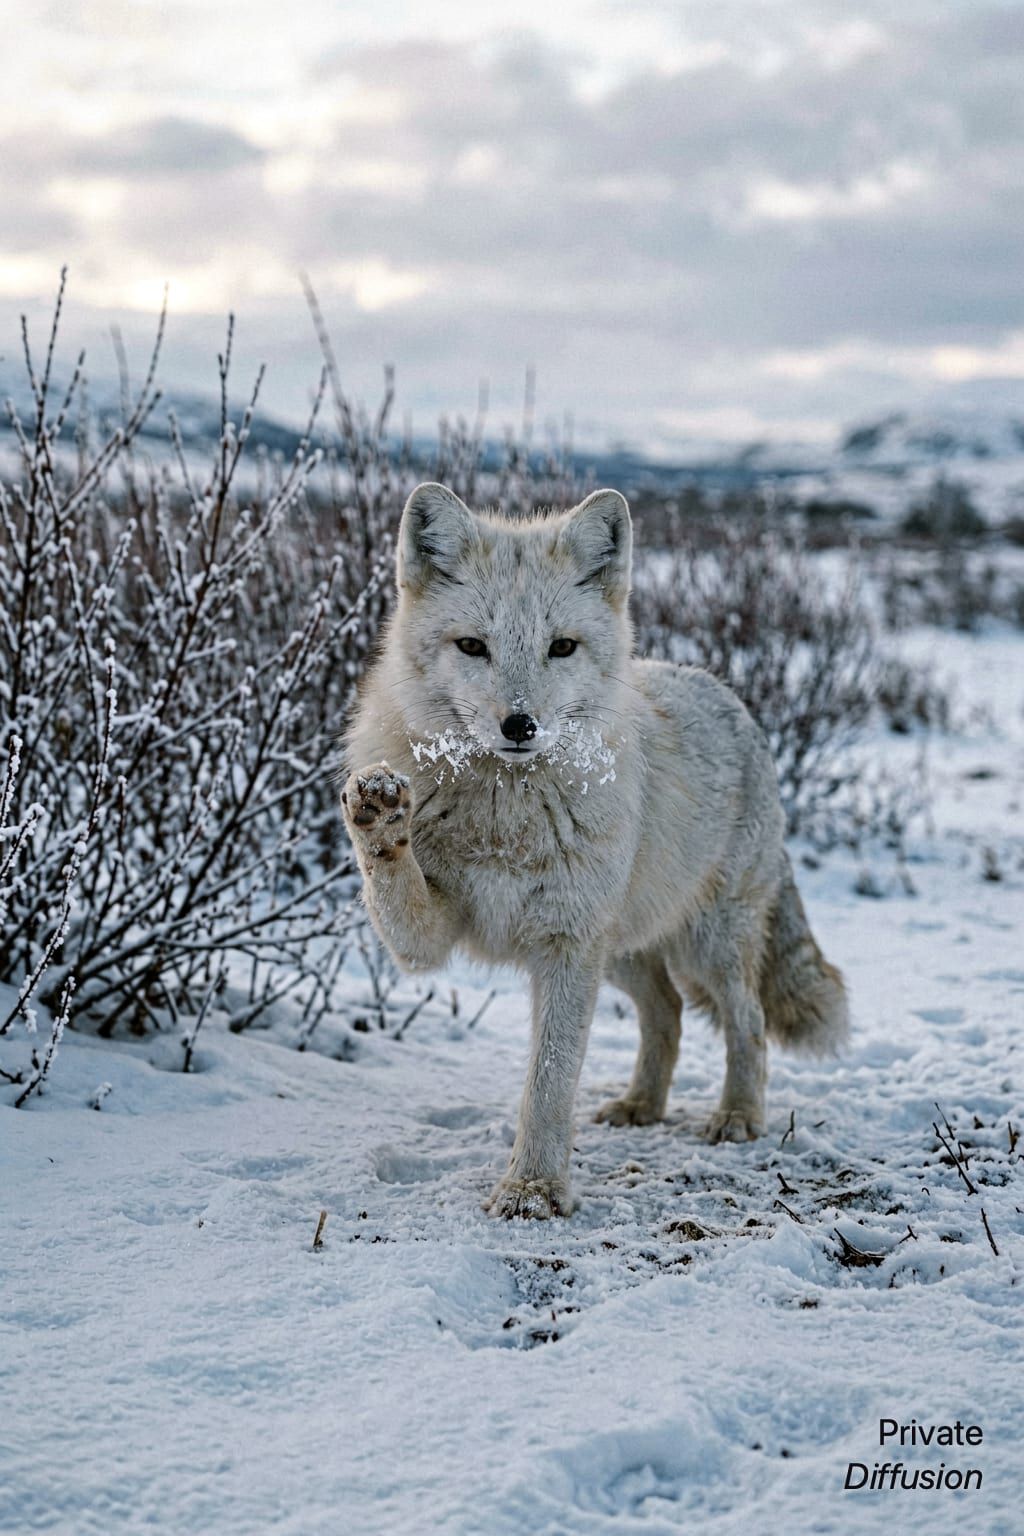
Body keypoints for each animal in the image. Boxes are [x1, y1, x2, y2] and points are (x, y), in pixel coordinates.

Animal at [341, 482, 849, 1219]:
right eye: (472, 646)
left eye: (561, 647)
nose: (520, 724)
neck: (504, 818)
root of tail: (732, 699)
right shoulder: (428, 943)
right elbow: (394, 885)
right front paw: (381, 818)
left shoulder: (567, 943)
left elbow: (551, 1084)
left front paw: (532, 1191)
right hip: (626, 954)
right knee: (667, 1013)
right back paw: (642, 1105)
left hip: (703, 947)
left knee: (747, 1020)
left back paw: (737, 1116)